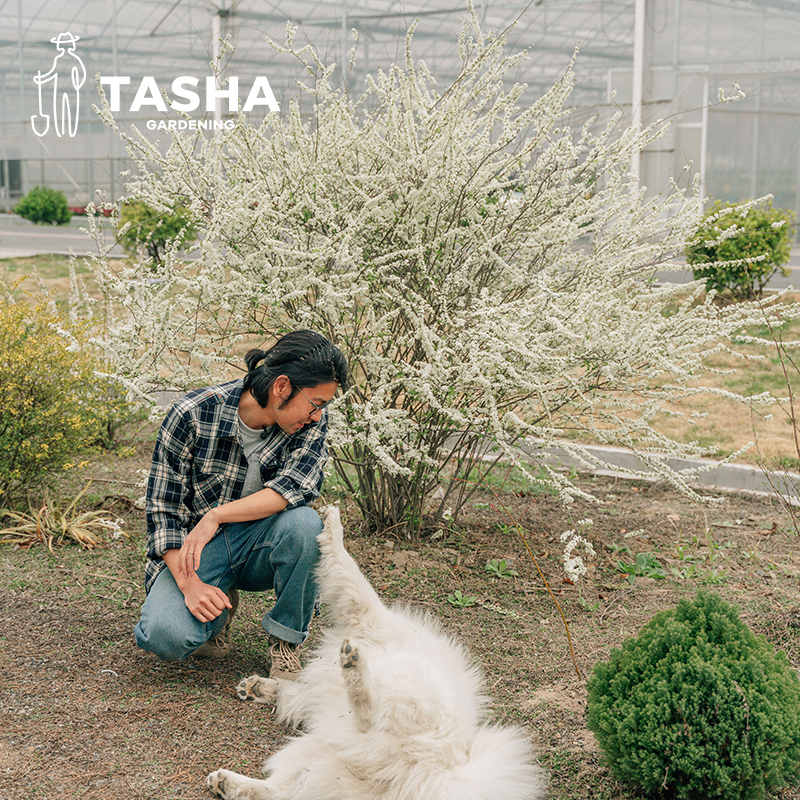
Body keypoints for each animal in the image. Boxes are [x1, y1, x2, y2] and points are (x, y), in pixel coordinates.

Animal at [206, 506, 548, 800]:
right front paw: (258, 687)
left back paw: (353, 665)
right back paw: (227, 783)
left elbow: (345, 563)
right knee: (282, 790)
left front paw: (332, 525)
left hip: (405, 677)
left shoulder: (362, 607)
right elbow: (294, 689)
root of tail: (441, 767)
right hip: (319, 759)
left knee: (368, 714)